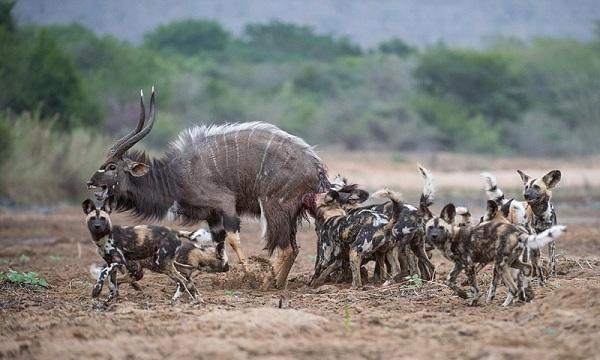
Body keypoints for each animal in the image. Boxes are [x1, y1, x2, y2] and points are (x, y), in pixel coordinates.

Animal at [424, 200, 564, 306]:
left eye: (441, 228)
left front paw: (474, 301)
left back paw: (505, 305)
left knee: (514, 288)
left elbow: (475, 287)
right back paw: (524, 296)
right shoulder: (459, 265)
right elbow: (449, 281)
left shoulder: (470, 265)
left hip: (501, 265)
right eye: (430, 227)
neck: (452, 236)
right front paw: (462, 294)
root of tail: (520, 233)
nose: (433, 236)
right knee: (527, 270)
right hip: (512, 263)